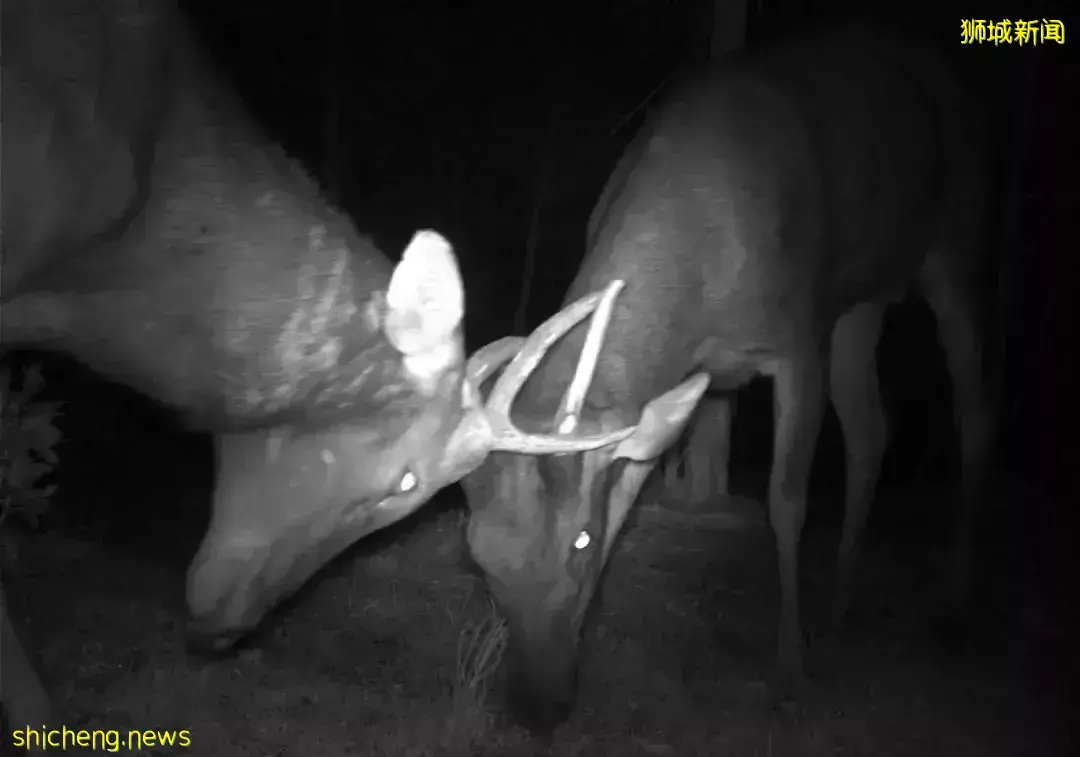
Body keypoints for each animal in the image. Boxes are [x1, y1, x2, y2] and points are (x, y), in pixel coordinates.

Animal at [460, 23, 989, 734]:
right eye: (477, 555)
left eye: (582, 541)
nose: (534, 708)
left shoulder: (799, 335)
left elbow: (787, 501)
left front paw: (789, 670)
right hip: (862, 301)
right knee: (872, 429)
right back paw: (840, 604)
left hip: (956, 237)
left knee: (973, 408)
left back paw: (955, 604)